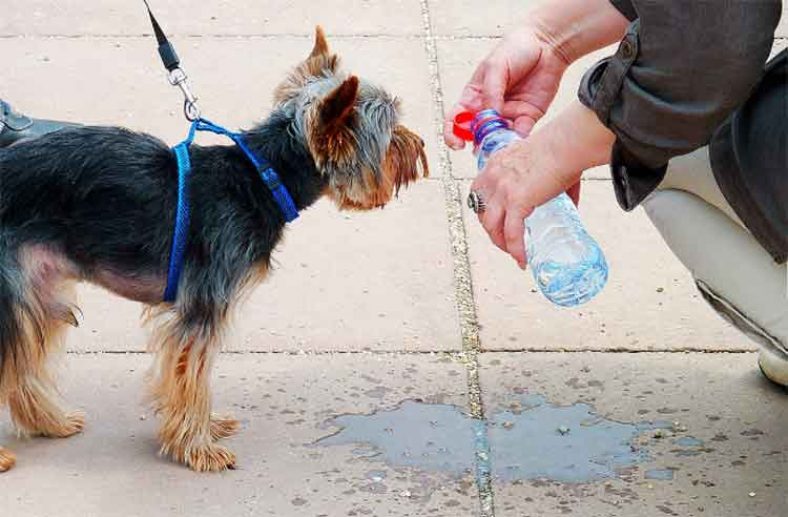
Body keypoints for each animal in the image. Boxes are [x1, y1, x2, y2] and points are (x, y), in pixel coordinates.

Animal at [0, 28, 428, 472]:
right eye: (390, 135)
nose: (421, 146)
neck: (263, 177)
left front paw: (206, 429)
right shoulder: (202, 307)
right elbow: (193, 376)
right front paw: (198, 447)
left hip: (39, 287)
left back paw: (51, 421)